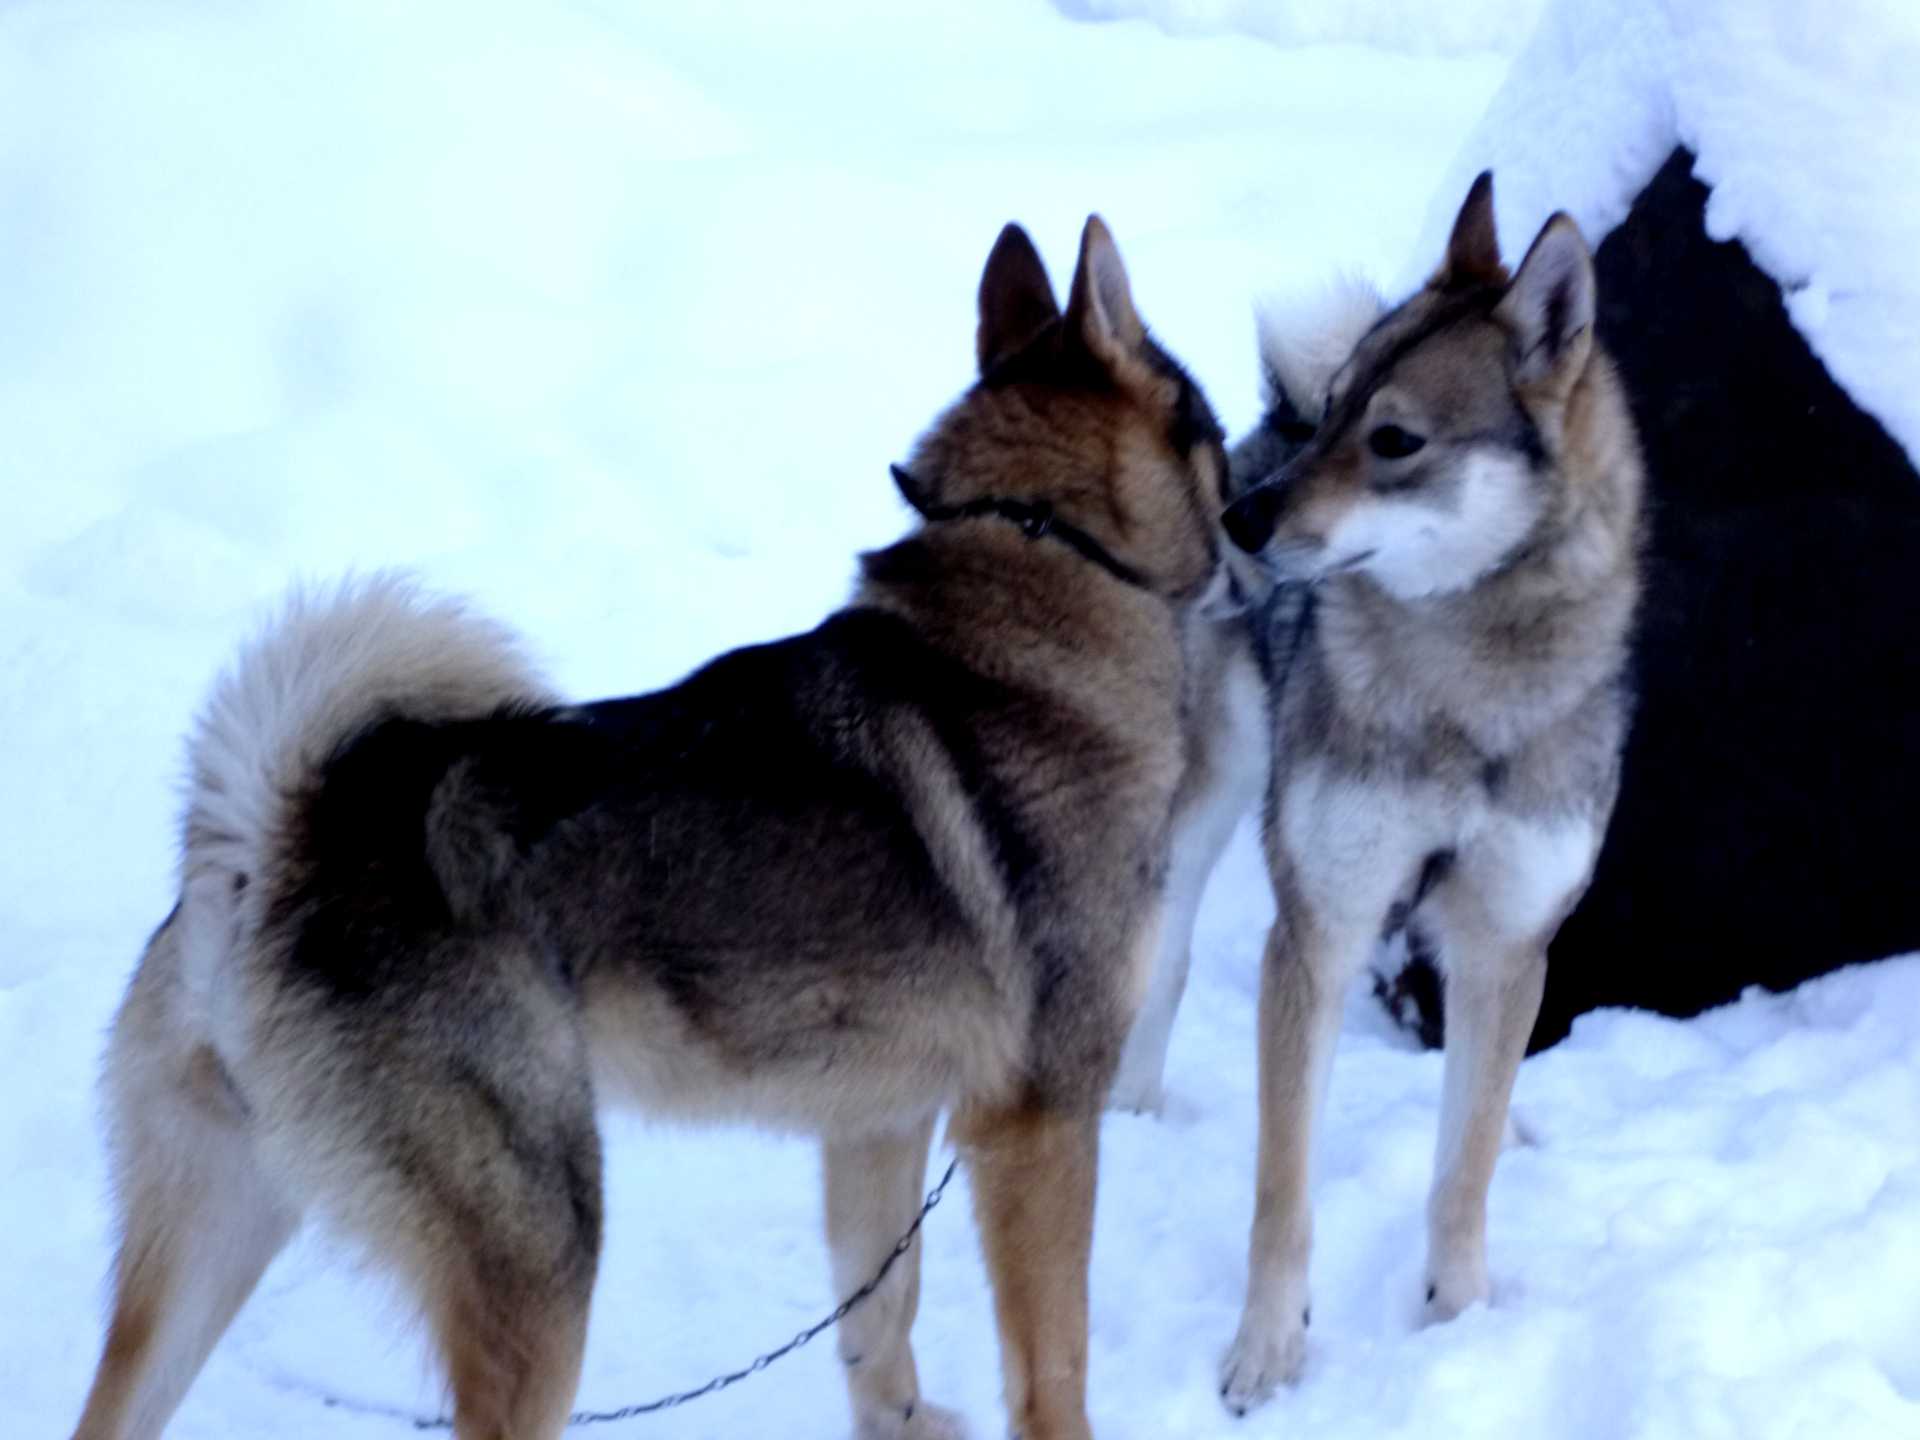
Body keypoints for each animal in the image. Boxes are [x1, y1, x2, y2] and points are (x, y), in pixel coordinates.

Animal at [71, 214, 1228, 1440]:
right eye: (1214, 431)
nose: (1257, 511)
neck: (1043, 566)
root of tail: (269, 849)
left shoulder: (878, 1121)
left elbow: (881, 1322)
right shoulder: (1039, 1123)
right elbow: (1053, 1366)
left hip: (215, 1239)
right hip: (543, 1263)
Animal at [1205, 174, 1643, 1413]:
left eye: (1394, 440)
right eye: (1337, 409)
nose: (1239, 518)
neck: (1461, 692)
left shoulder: (1508, 938)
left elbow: (1466, 1166)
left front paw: (1458, 1322)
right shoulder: (1318, 927)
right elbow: (1280, 1188)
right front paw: (1267, 1353)